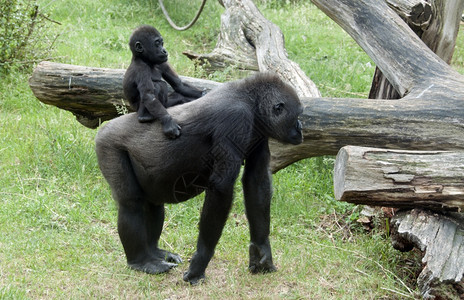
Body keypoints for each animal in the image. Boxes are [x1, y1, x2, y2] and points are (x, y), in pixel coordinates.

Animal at [94, 72, 304, 284]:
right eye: (298, 116)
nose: (301, 128)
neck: (252, 102)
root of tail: (105, 128)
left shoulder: (260, 132)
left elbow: (257, 182)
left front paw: (262, 250)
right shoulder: (235, 118)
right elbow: (221, 188)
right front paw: (201, 261)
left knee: (153, 203)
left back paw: (155, 252)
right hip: (108, 144)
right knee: (131, 203)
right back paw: (141, 261)